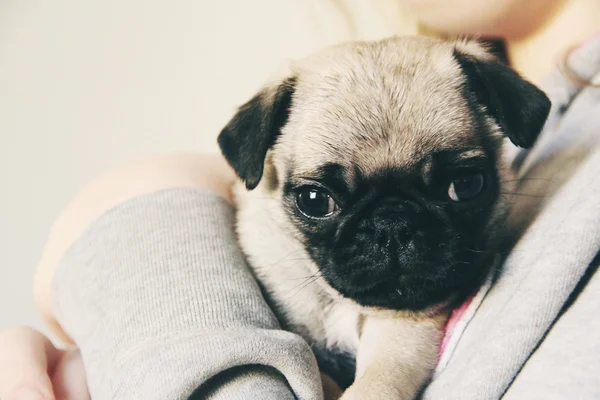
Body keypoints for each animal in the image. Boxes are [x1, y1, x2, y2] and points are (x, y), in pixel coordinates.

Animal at [216, 36, 548, 398]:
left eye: (465, 185)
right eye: (315, 201)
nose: (392, 223)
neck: (344, 305)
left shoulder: (402, 333)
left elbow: (376, 383)